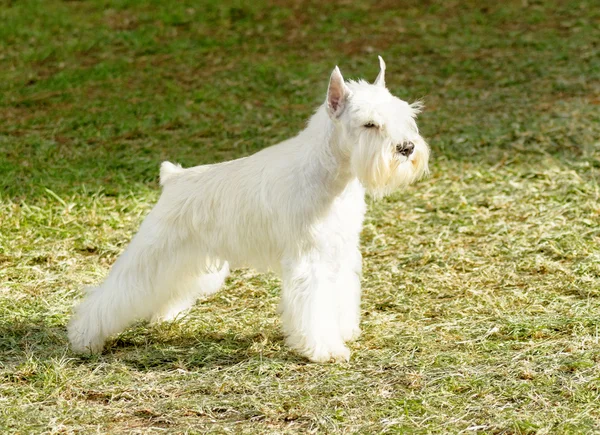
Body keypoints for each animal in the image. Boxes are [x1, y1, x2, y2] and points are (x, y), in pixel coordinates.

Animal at [68, 58, 428, 364]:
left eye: (405, 116)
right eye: (369, 124)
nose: (406, 148)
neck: (330, 174)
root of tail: (174, 177)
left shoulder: (339, 253)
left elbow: (339, 297)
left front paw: (342, 332)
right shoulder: (309, 261)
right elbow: (315, 307)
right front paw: (324, 348)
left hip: (190, 261)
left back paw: (165, 315)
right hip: (153, 254)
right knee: (111, 295)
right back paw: (84, 338)